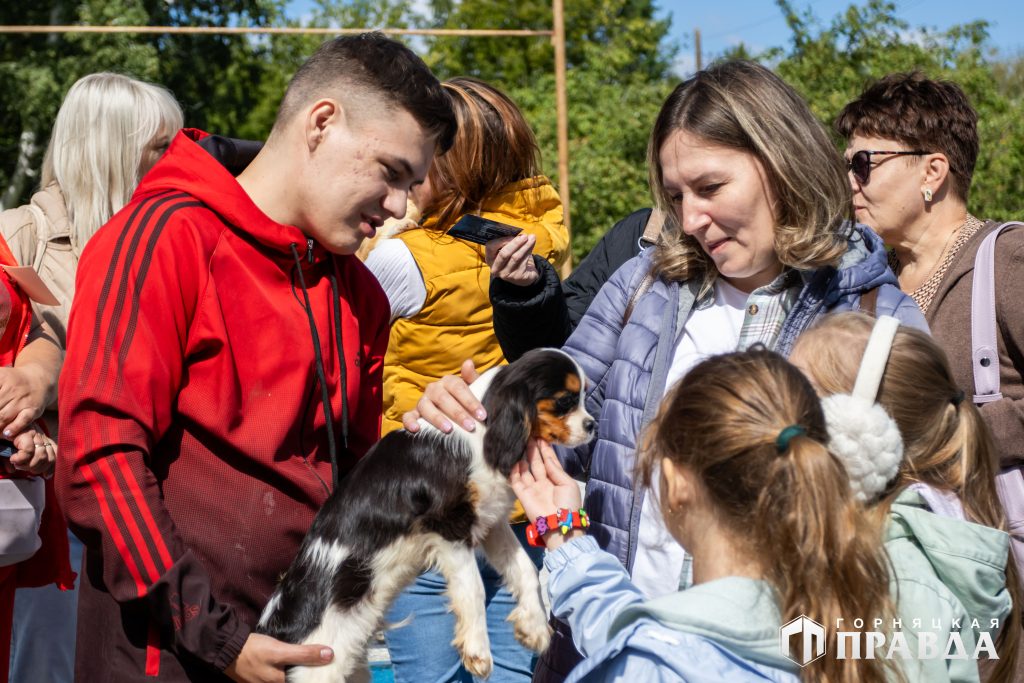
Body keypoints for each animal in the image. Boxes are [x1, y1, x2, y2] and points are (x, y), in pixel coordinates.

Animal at [258, 350, 593, 679]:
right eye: (566, 400)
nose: (592, 425)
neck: (481, 433)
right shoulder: (449, 525)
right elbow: (473, 586)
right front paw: (478, 651)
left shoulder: (491, 519)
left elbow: (525, 569)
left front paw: (534, 628)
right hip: (319, 664)